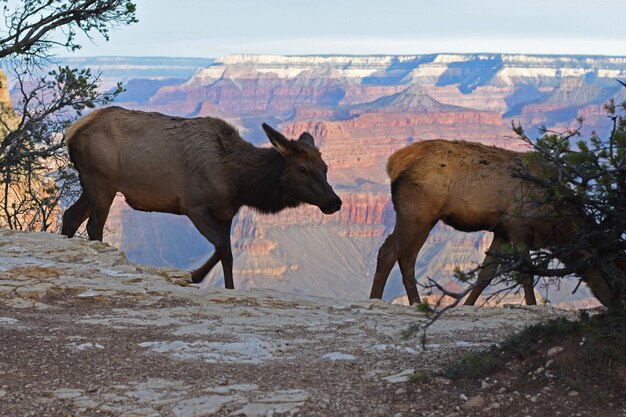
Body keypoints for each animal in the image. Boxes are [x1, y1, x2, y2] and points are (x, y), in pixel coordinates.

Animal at [62, 105, 342, 288]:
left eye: (325, 167)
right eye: (302, 168)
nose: (335, 201)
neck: (237, 181)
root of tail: (70, 133)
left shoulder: (226, 212)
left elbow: (228, 254)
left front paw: (229, 288)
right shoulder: (194, 205)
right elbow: (221, 246)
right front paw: (193, 275)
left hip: (90, 184)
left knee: (70, 216)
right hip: (102, 182)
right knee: (93, 226)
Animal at [368, 140, 612, 306]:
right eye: (612, 269)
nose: (615, 302)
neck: (555, 226)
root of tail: (394, 163)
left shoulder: (501, 232)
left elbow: (486, 273)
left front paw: (466, 305)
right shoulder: (517, 226)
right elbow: (526, 270)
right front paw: (532, 305)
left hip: (427, 219)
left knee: (407, 258)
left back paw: (417, 303)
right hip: (414, 213)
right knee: (388, 251)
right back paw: (374, 300)